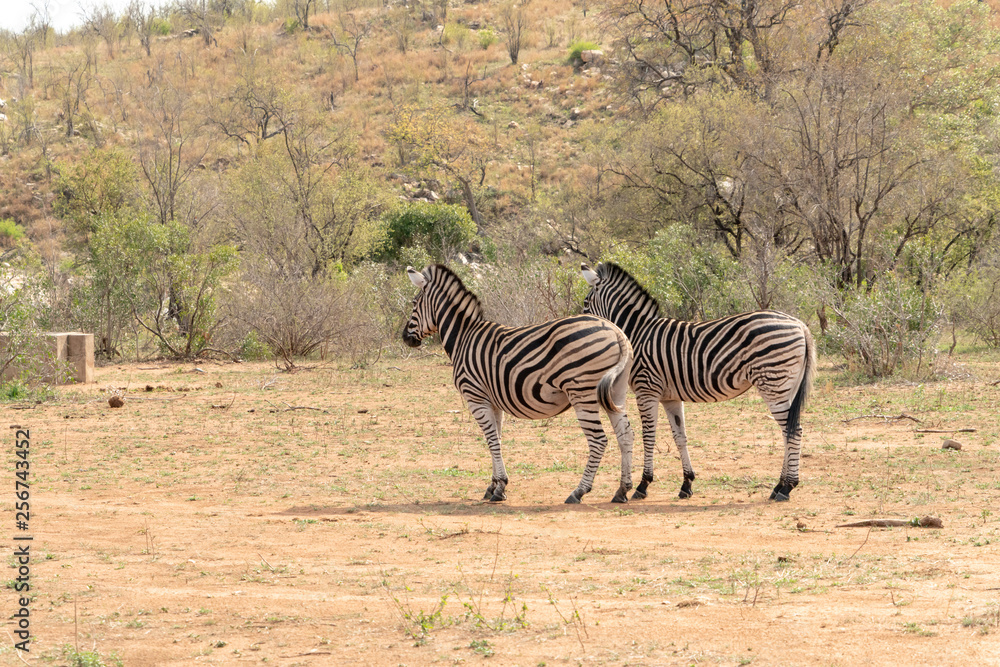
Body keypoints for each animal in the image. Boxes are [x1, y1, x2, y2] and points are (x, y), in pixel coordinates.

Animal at [404, 264, 636, 504]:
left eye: (414, 303)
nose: (405, 338)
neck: (463, 337)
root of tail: (616, 332)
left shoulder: (475, 396)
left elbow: (491, 440)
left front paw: (499, 488)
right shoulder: (493, 400)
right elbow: (496, 439)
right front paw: (494, 486)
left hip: (582, 392)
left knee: (599, 440)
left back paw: (579, 491)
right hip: (615, 392)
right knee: (626, 436)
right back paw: (622, 489)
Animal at [580, 262, 815, 502]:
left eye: (586, 303)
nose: (583, 325)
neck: (637, 333)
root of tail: (799, 325)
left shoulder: (647, 390)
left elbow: (649, 437)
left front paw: (643, 484)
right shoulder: (670, 397)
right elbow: (680, 437)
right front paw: (687, 483)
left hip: (773, 383)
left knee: (794, 431)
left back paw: (787, 488)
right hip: (787, 385)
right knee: (788, 431)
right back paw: (778, 486)